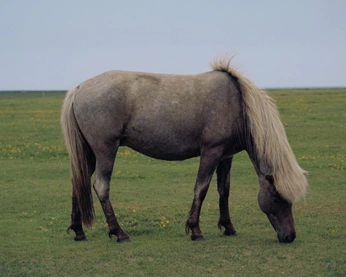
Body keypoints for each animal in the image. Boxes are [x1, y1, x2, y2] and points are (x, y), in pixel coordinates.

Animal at [60, 57, 306, 243]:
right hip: (105, 151)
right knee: (101, 187)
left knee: (78, 183)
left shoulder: (226, 156)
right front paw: (195, 230)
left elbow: (223, 190)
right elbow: (201, 189)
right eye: (276, 197)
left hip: (88, 154)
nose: (290, 236)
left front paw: (228, 227)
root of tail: (79, 89)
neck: (238, 103)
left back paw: (79, 231)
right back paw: (119, 233)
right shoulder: (211, 153)